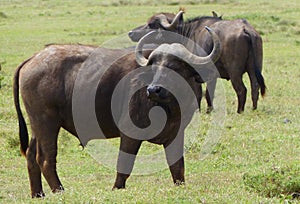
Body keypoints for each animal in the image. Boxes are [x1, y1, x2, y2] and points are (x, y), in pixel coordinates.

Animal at [14, 28, 220, 198]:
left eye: (175, 67)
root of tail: (32, 59)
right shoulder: (130, 133)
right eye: (155, 66)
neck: (169, 107)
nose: (153, 89)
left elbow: (178, 167)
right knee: (46, 158)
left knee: (31, 155)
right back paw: (59, 190)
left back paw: (38, 194)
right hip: (47, 122)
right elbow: (124, 164)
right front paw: (117, 188)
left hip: (36, 125)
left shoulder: (176, 134)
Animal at [128, 10, 264, 113]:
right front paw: (209, 110)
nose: (131, 33)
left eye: (151, 24)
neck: (187, 33)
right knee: (255, 87)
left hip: (234, 72)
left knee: (241, 90)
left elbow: (199, 93)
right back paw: (253, 108)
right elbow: (209, 93)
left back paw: (239, 111)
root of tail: (246, 29)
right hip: (253, 70)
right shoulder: (211, 75)